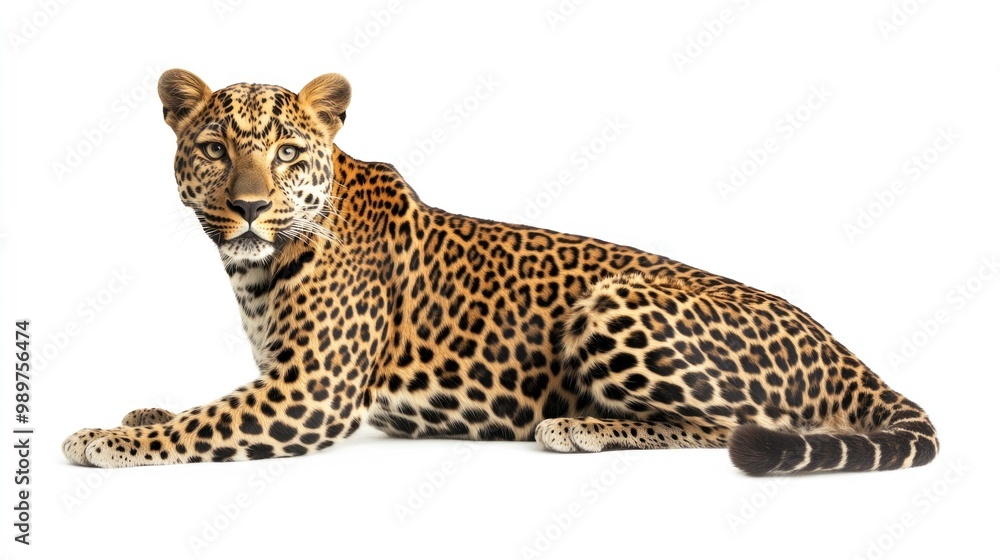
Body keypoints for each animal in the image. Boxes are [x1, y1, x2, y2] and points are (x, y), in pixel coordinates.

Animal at [62, 70, 939, 475]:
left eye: (285, 153)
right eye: (215, 149)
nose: (247, 207)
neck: (257, 267)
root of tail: (836, 346)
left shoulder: (311, 392)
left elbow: (200, 423)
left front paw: (103, 437)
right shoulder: (281, 377)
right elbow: (193, 406)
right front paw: (136, 411)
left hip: (616, 297)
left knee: (738, 428)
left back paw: (582, 425)